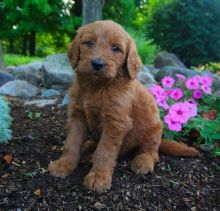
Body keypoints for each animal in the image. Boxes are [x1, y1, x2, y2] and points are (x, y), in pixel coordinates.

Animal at [48, 20, 199, 192]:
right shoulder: (77, 116)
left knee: (151, 152)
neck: (97, 87)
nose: (97, 63)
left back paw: (143, 161)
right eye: (89, 43)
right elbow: (71, 143)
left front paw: (99, 177)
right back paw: (88, 145)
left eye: (116, 48)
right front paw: (64, 164)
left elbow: (104, 151)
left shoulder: (115, 123)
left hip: (154, 129)